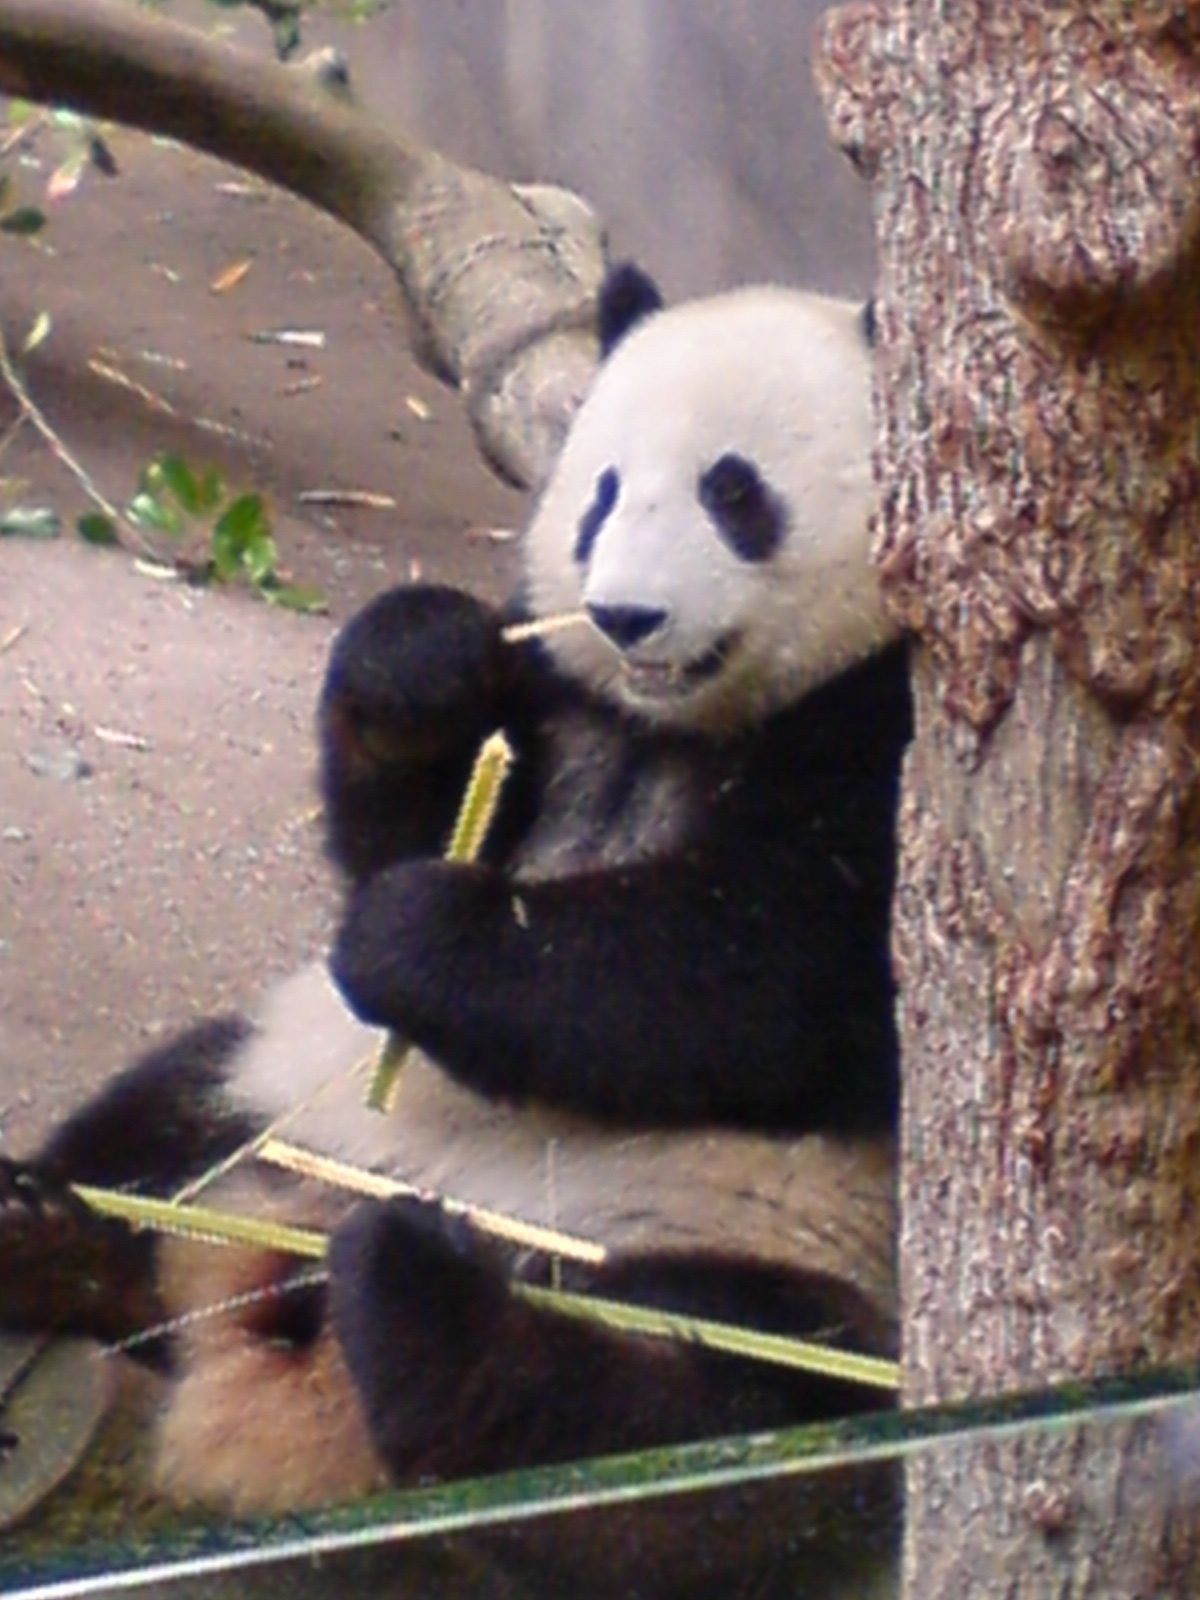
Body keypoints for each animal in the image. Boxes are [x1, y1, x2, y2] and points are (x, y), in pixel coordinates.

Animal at [0, 265, 909, 1598]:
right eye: (599, 492)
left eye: (735, 493)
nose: (625, 616)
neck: (673, 724)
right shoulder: (558, 701)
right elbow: (409, 814)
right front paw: (416, 666)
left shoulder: (894, 739)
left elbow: (763, 975)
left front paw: (428, 938)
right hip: (281, 1090)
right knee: (169, 1114)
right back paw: (50, 1232)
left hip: (772, 1250)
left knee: (683, 1425)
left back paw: (424, 1303)